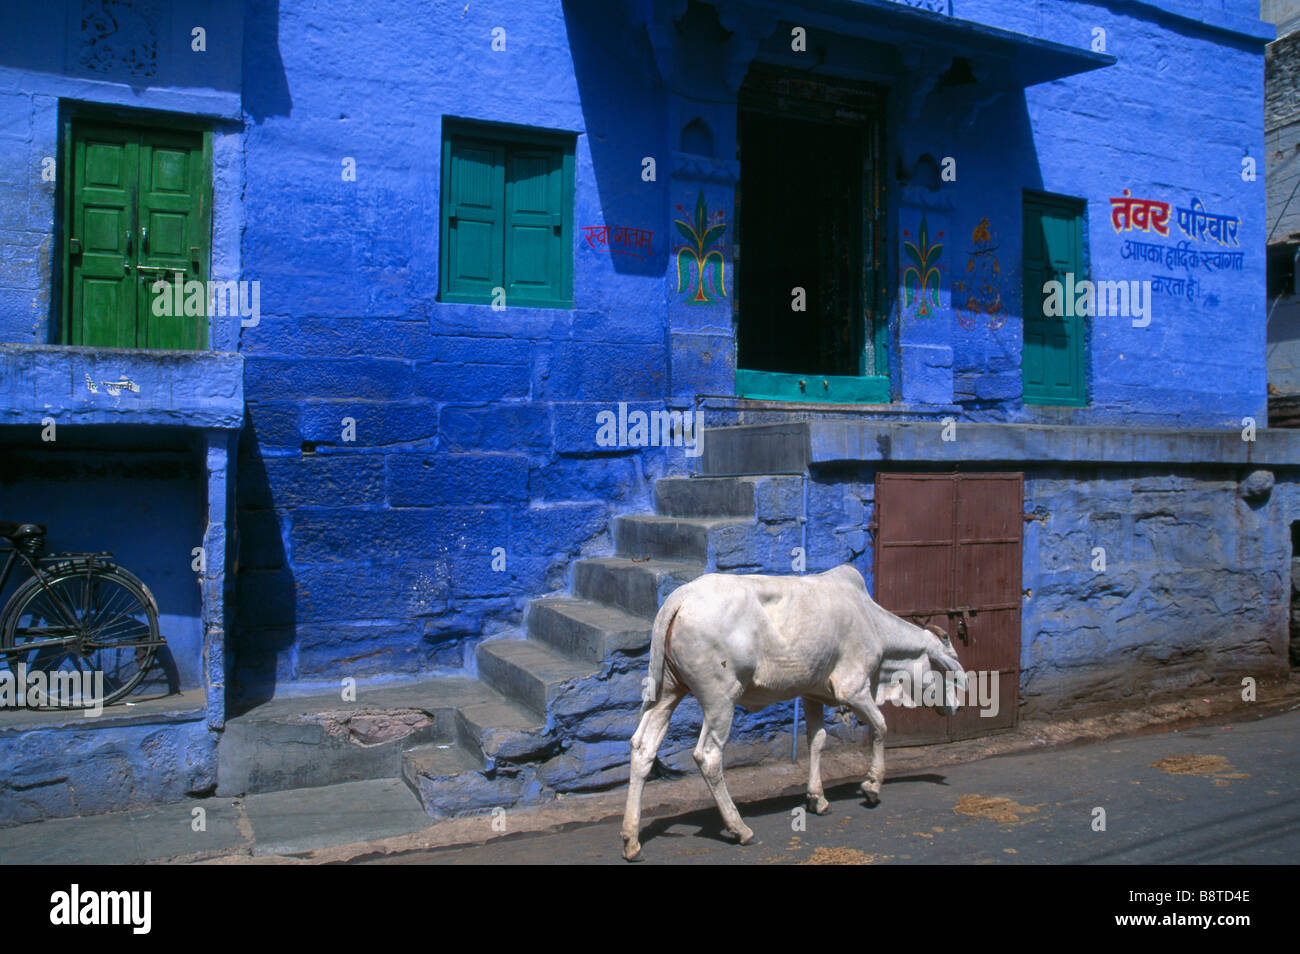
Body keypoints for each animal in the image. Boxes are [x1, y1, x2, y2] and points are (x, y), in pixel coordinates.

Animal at [618, 564, 967, 863]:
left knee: (643, 747)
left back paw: (631, 840)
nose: (955, 707)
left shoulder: (812, 692)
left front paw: (817, 799)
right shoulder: (852, 689)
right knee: (708, 756)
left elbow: (817, 740)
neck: (874, 625)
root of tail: (680, 598)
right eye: (948, 672)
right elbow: (881, 727)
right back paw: (740, 829)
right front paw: (871, 787)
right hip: (720, 698)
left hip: (667, 691)